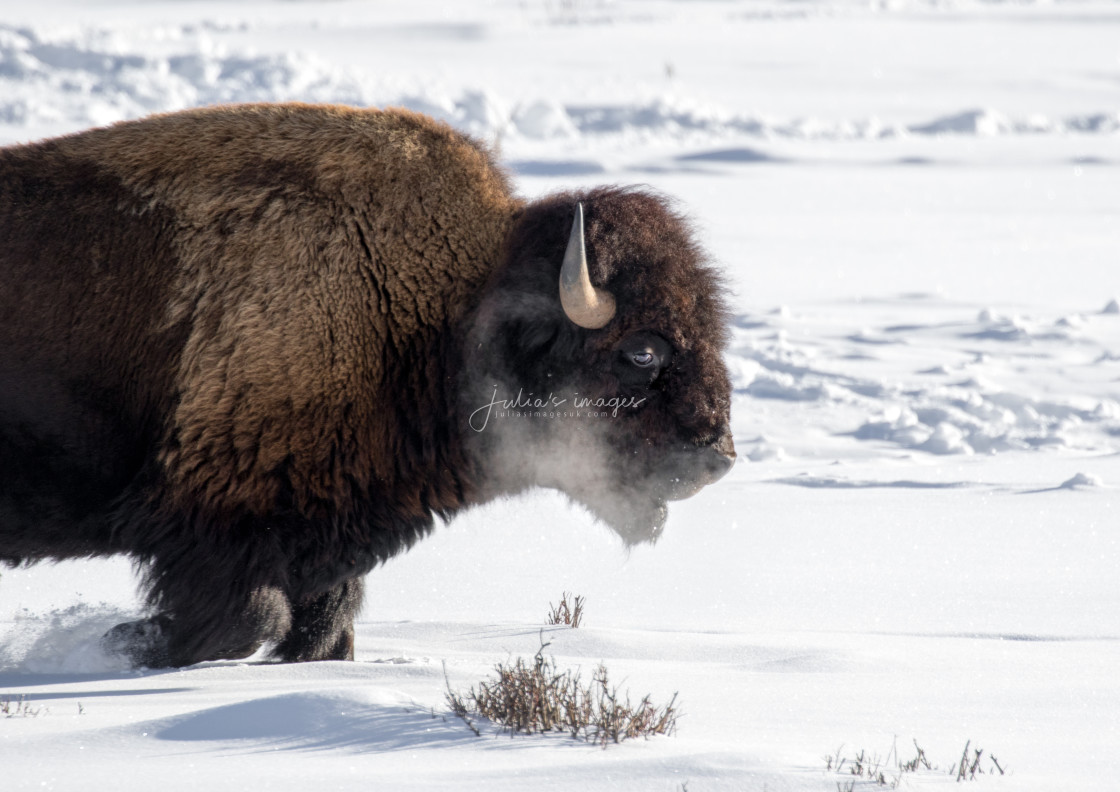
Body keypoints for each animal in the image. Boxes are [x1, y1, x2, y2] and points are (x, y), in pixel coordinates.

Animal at [0, 102, 739, 667]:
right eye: (642, 352)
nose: (717, 457)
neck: (445, 310)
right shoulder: (214, 522)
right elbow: (247, 622)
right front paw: (117, 643)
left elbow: (322, 624)